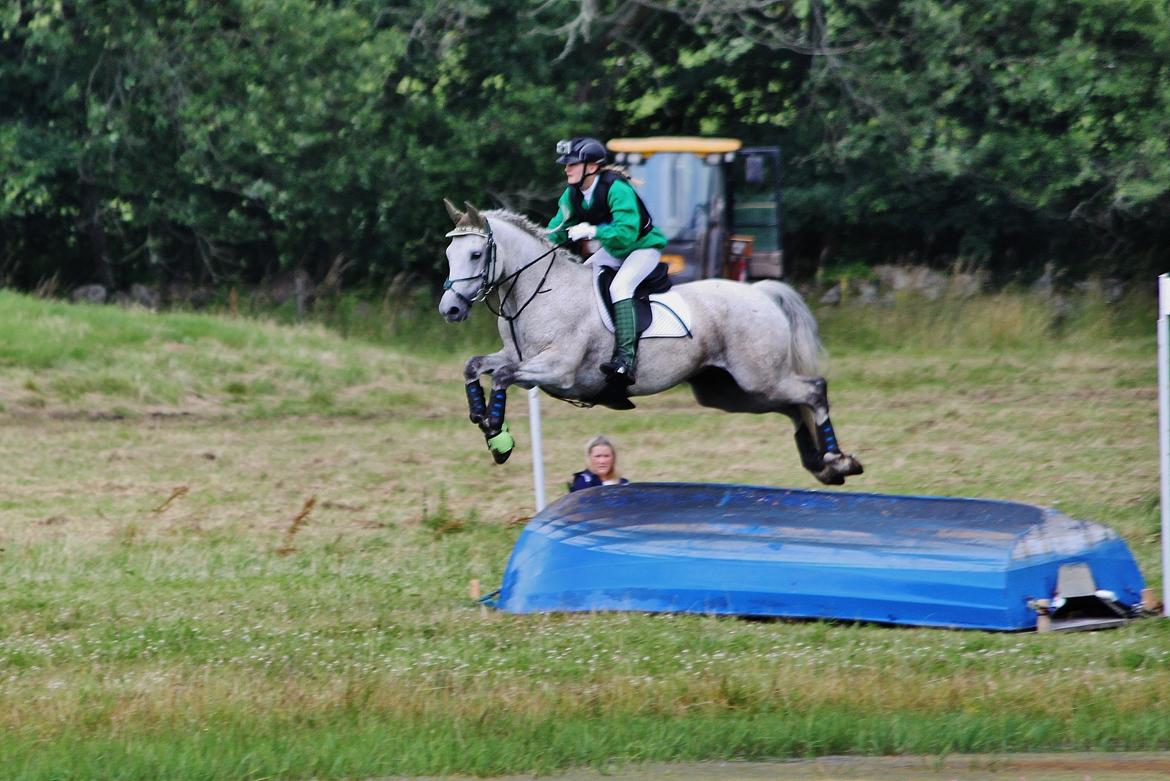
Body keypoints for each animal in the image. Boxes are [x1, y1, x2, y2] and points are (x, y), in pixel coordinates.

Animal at [437, 198, 861, 484]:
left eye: (476, 254)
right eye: (449, 253)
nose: (450, 309)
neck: (540, 293)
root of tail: (760, 292)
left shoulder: (557, 371)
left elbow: (503, 376)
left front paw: (497, 434)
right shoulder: (515, 356)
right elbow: (475, 366)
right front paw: (483, 419)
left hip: (760, 377)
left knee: (813, 391)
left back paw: (838, 460)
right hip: (733, 391)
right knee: (793, 407)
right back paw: (821, 465)